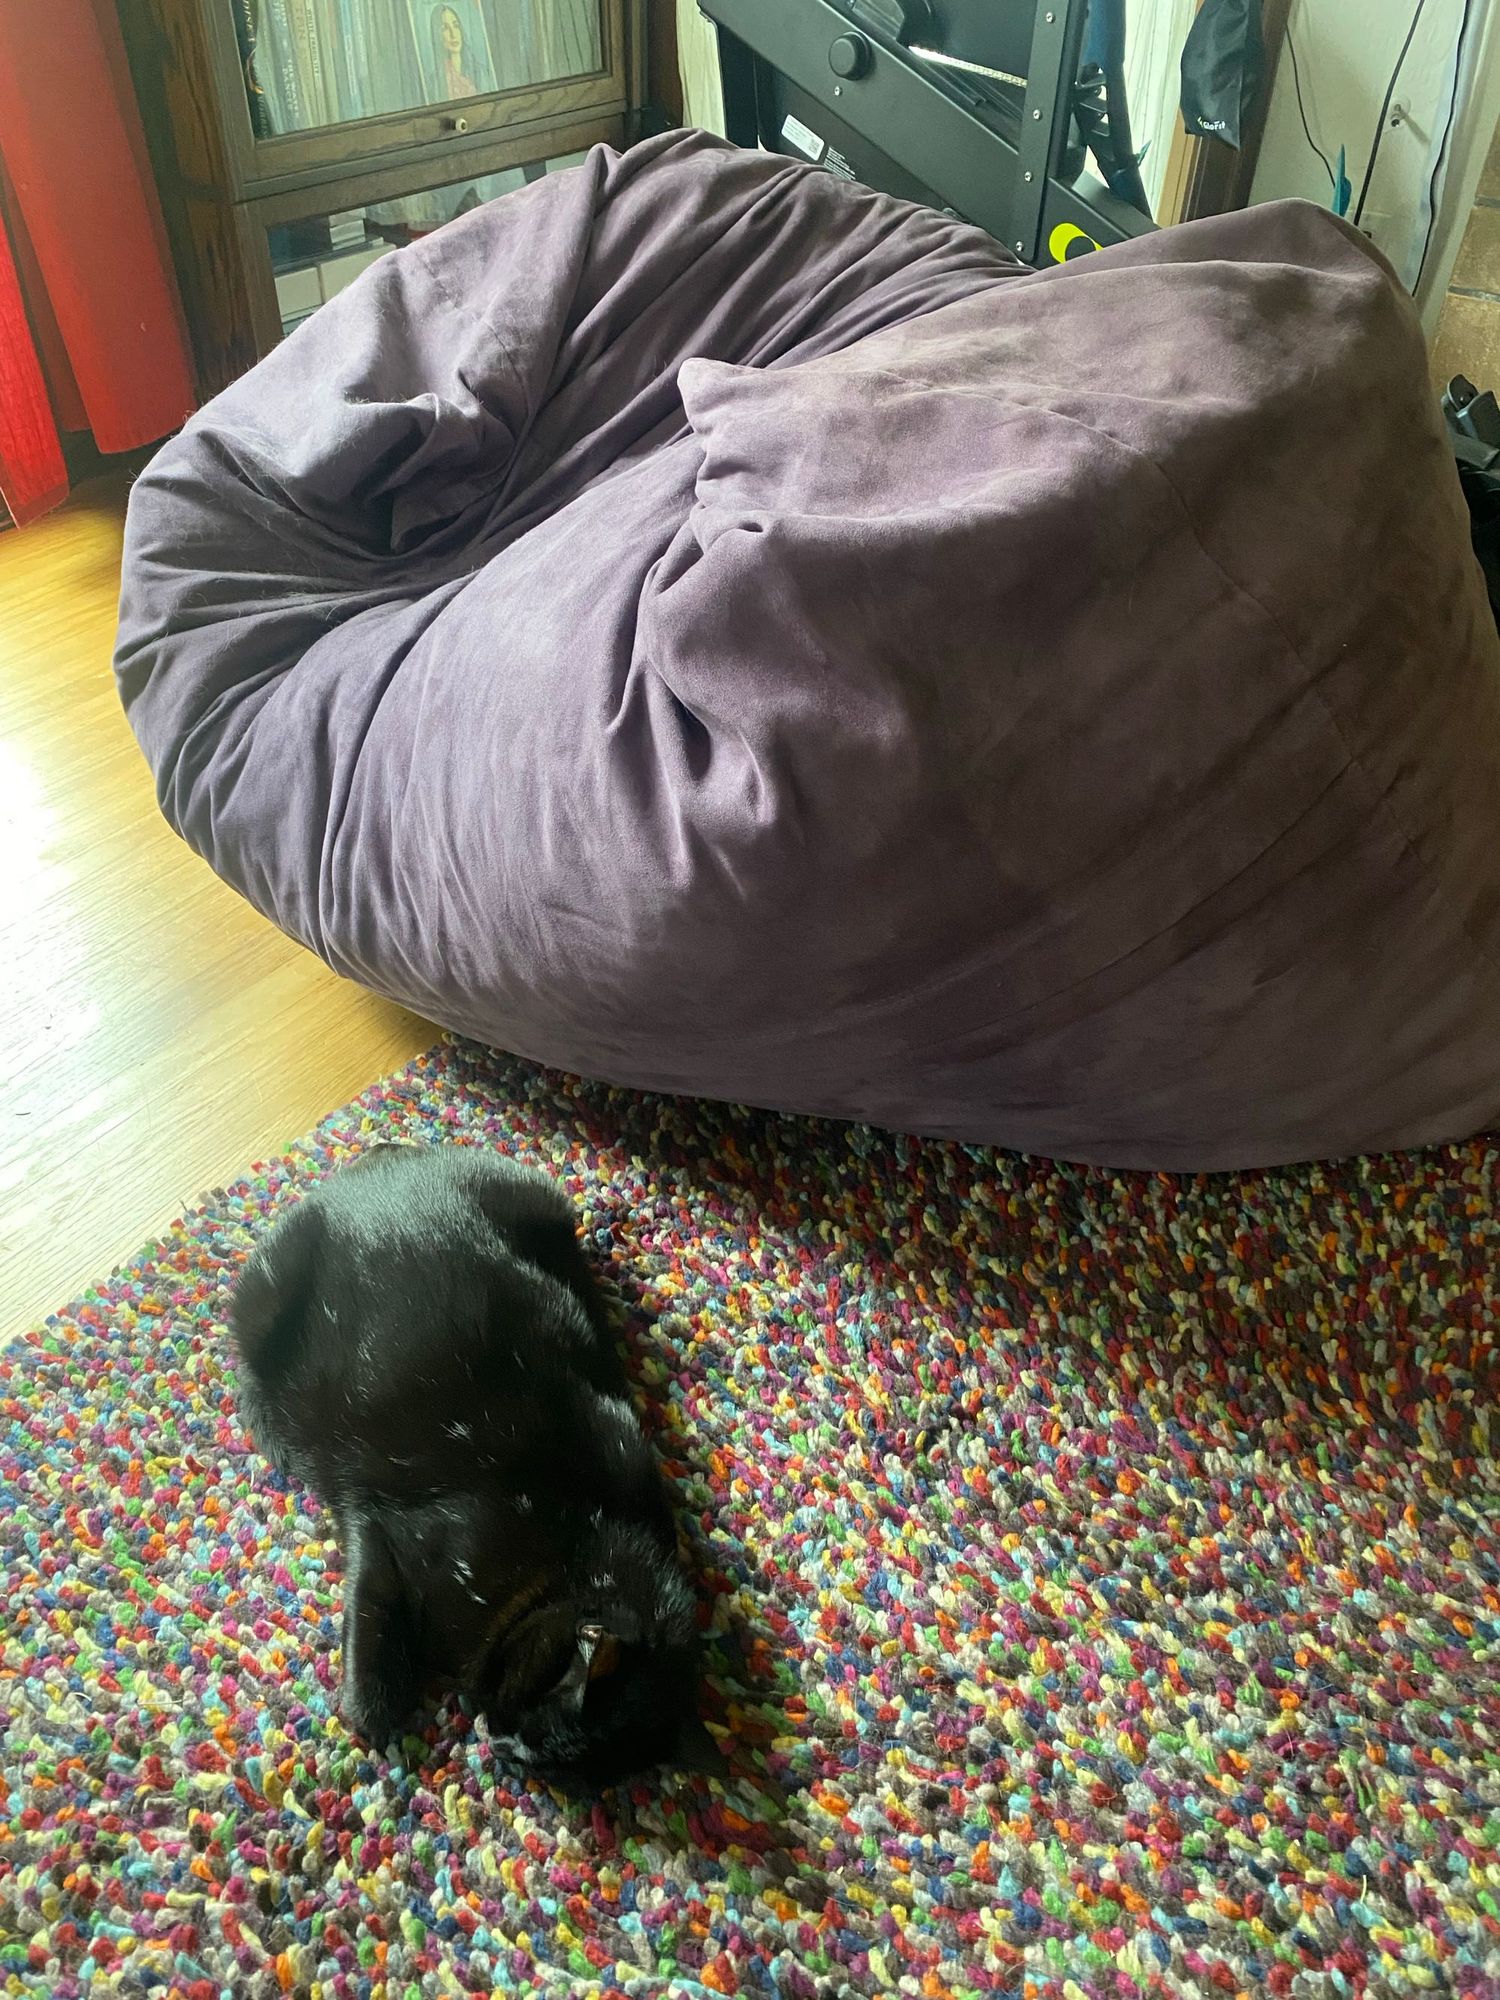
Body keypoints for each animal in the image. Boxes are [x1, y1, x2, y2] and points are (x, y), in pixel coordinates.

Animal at [231, 1152, 724, 1792]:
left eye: (550, 1766)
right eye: (534, 1715)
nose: (498, 1743)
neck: (574, 1553)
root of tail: (378, 1164)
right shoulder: (385, 1532)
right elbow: (370, 1648)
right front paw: (372, 1716)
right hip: (263, 1305)